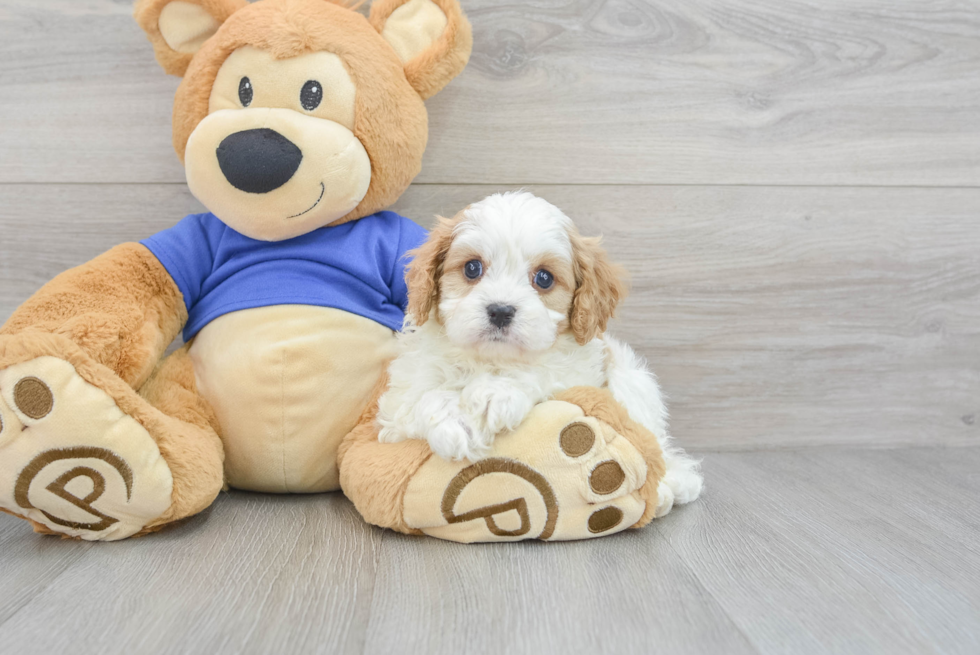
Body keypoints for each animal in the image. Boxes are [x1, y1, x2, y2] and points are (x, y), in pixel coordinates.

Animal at [378, 192, 704, 516]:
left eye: (544, 278)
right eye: (472, 268)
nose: (500, 311)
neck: (491, 360)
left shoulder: (577, 374)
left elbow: (540, 372)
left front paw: (494, 394)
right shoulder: (398, 404)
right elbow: (422, 400)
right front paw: (455, 421)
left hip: (633, 379)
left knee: (654, 441)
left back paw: (670, 488)